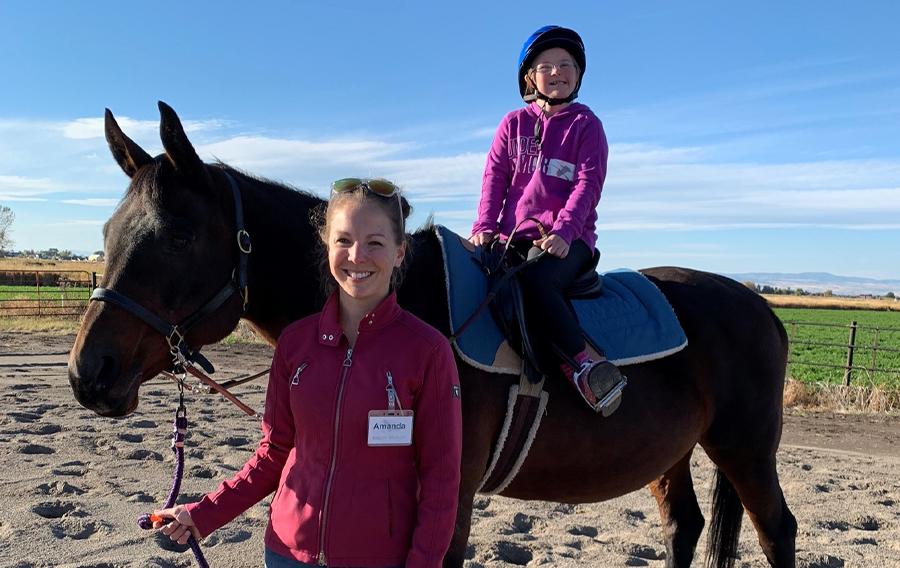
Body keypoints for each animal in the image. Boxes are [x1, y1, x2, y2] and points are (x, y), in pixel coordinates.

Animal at [67, 103, 796, 568]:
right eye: (107, 232)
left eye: (179, 237)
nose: (88, 372)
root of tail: (761, 307)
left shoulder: (448, 500)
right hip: (673, 451)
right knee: (685, 527)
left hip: (746, 448)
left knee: (776, 531)